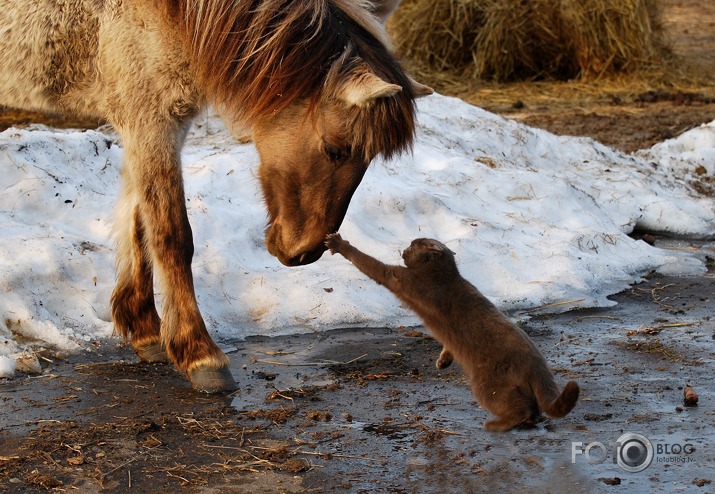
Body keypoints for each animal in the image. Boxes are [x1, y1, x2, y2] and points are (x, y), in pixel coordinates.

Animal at [0, 0, 430, 394]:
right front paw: (200, 354)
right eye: (336, 149)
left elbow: (139, 223)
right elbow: (172, 235)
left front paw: (145, 330)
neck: (175, 14)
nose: (304, 253)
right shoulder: (150, 121)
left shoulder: (158, 127)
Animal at [324, 233, 580, 430]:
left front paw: (339, 244)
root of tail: (538, 366)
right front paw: (443, 360)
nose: (403, 248)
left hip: (487, 385)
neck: (444, 276)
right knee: (534, 410)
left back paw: (496, 425)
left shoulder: (402, 279)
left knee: (519, 410)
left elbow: (373, 266)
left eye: (413, 244)